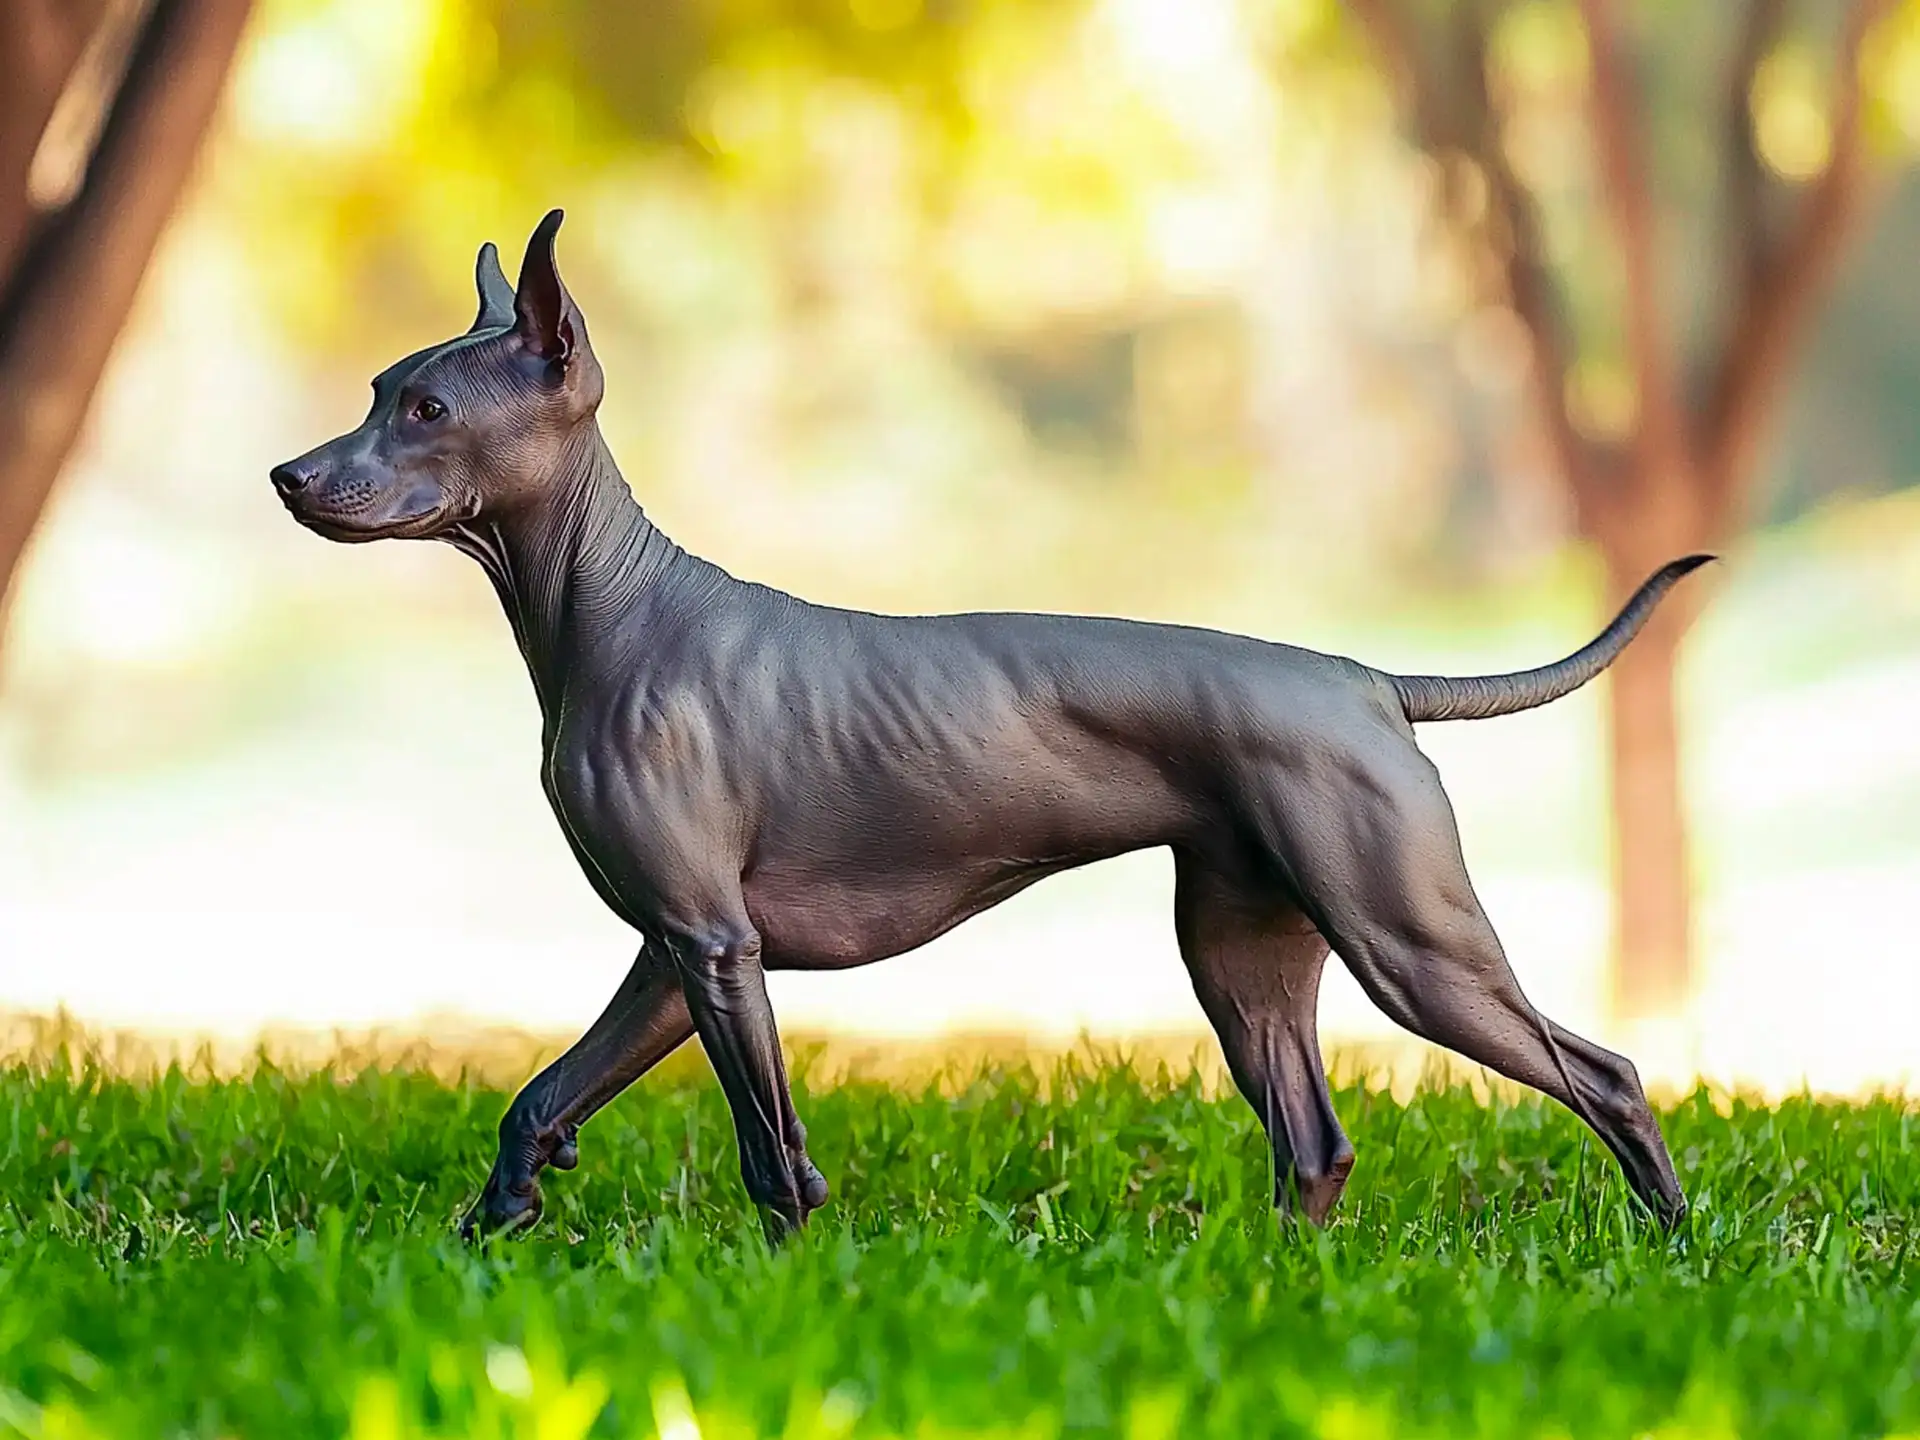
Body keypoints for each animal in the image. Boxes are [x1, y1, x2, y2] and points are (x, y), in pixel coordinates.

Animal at [274, 211, 1712, 1244]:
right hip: (1244, 957)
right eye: (379, 388)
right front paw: (494, 1225)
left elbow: (771, 1157)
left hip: (1410, 943)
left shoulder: (714, 949)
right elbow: (538, 1099)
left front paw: (789, 1289)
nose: (289, 477)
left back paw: (1674, 1247)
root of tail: (1364, 680)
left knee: (1604, 1073)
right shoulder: (678, 957)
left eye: (428, 410)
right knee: (1315, 1144)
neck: (611, 607)